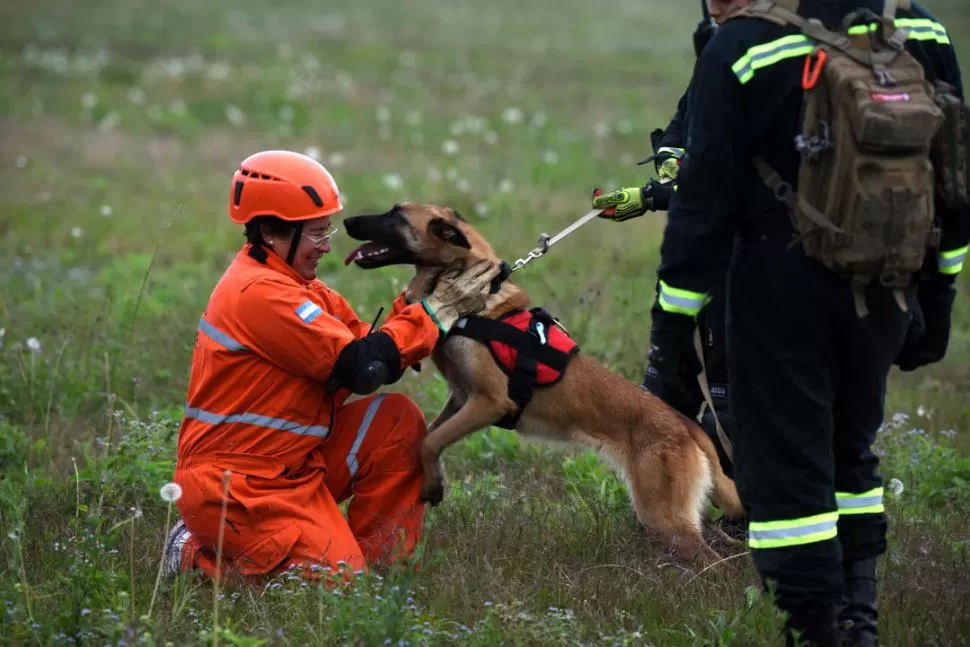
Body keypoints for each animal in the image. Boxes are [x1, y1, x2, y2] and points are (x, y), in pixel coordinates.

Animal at [340, 202, 740, 560]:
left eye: (396, 215)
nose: (346, 220)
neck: (476, 302)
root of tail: (687, 427)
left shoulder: (489, 402)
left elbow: (431, 441)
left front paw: (434, 484)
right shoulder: (460, 397)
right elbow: (431, 437)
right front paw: (432, 479)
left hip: (664, 517)